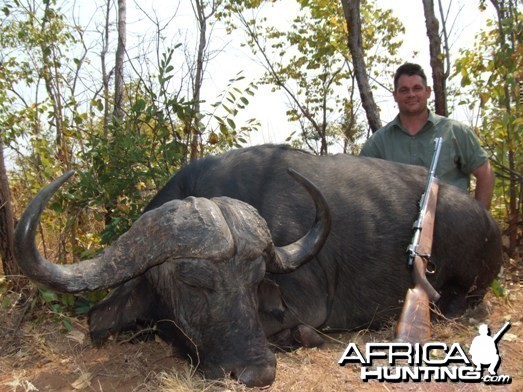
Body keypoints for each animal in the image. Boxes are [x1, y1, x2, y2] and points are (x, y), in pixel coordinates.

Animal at [14, 143, 502, 386]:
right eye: (193, 283)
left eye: (254, 282)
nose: (256, 373)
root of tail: (488, 221)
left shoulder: (307, 306)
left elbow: (298, 328)